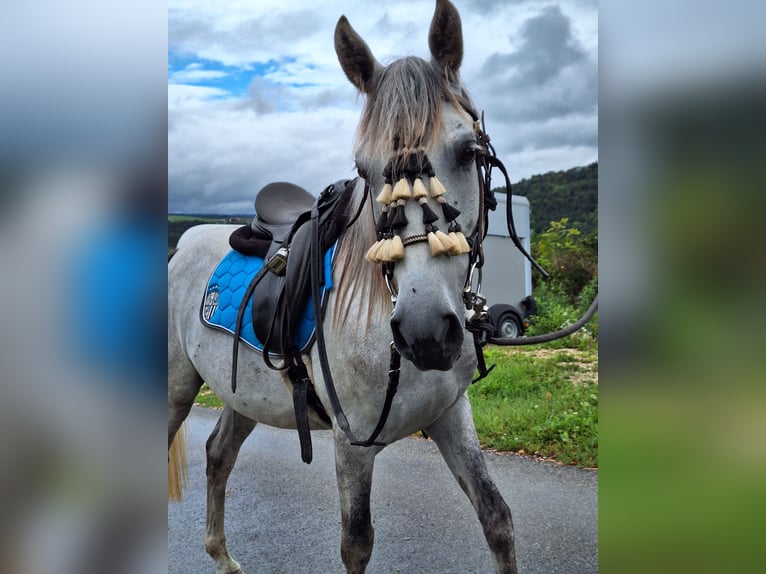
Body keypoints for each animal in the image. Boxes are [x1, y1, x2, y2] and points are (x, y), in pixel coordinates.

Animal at [167, 2, 516, 572]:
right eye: (363, 169)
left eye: (468, 151)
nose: (424, 332)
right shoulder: (352, 447)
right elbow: (356, 542)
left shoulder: (451, 415)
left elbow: (497, 520)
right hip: (177, 389)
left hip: (243, 395)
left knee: (218, 455)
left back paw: (222, 556)